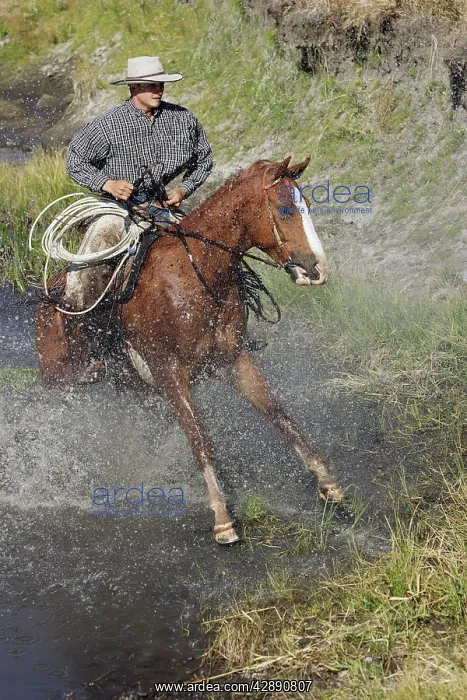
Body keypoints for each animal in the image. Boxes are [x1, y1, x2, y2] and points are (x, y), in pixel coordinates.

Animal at [35, 156, 344, 544]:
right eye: (285, 208)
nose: (317, 269)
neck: (196, 274)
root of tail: (50, 293)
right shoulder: (170, 373)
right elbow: (200, 439)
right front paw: (222, 519)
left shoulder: (234, 360)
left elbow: (280, 415)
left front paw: (327, 483)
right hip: (59, 383)